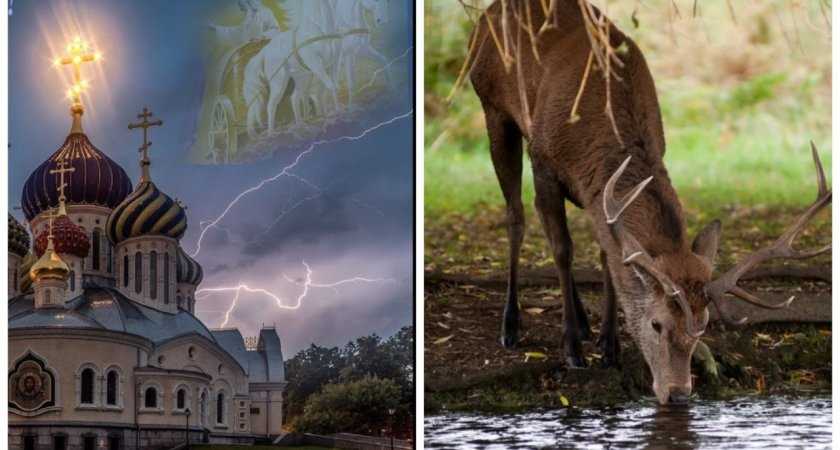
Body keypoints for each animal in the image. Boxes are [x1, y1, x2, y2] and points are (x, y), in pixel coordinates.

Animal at [466, 0, 832, 404]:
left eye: (703, 325)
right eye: (657, 324)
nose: (679, 393)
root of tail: (485, 16)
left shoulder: (600, 195)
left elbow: (609, 256)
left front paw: (609, 346)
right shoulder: (544, 160)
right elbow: (562, 248)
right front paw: (573, 351)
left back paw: (584, 322)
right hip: (493, 108)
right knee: (516, 216)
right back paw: (511, 326)